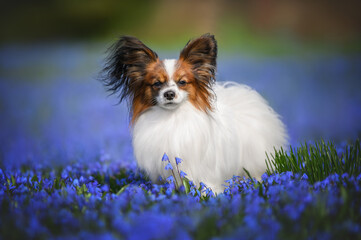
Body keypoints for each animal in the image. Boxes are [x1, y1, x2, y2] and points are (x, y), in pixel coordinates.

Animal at [100, 33, 286, 193]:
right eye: (157, 84)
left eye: (182, 82)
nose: (169, 94)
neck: (172, 118)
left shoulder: (204, 168)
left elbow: (207, 186)